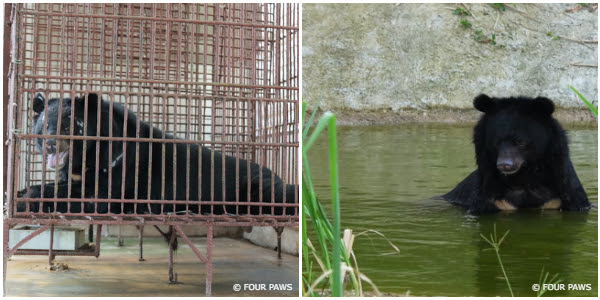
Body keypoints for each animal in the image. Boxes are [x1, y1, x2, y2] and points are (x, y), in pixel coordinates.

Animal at [17, 92, 298, 217]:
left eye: (69, 125)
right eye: (44, 125)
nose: (50, 144)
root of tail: (276, 174)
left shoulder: (114, 180)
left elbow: (84, 195)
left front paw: (26, 198)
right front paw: (21, 192)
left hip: (260, 190)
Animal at [442, 94, 592, 213]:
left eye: (520, 142)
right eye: (497, 142)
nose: (505, 165)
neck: (524, 176)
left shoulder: (561, 191)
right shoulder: (492, 195)